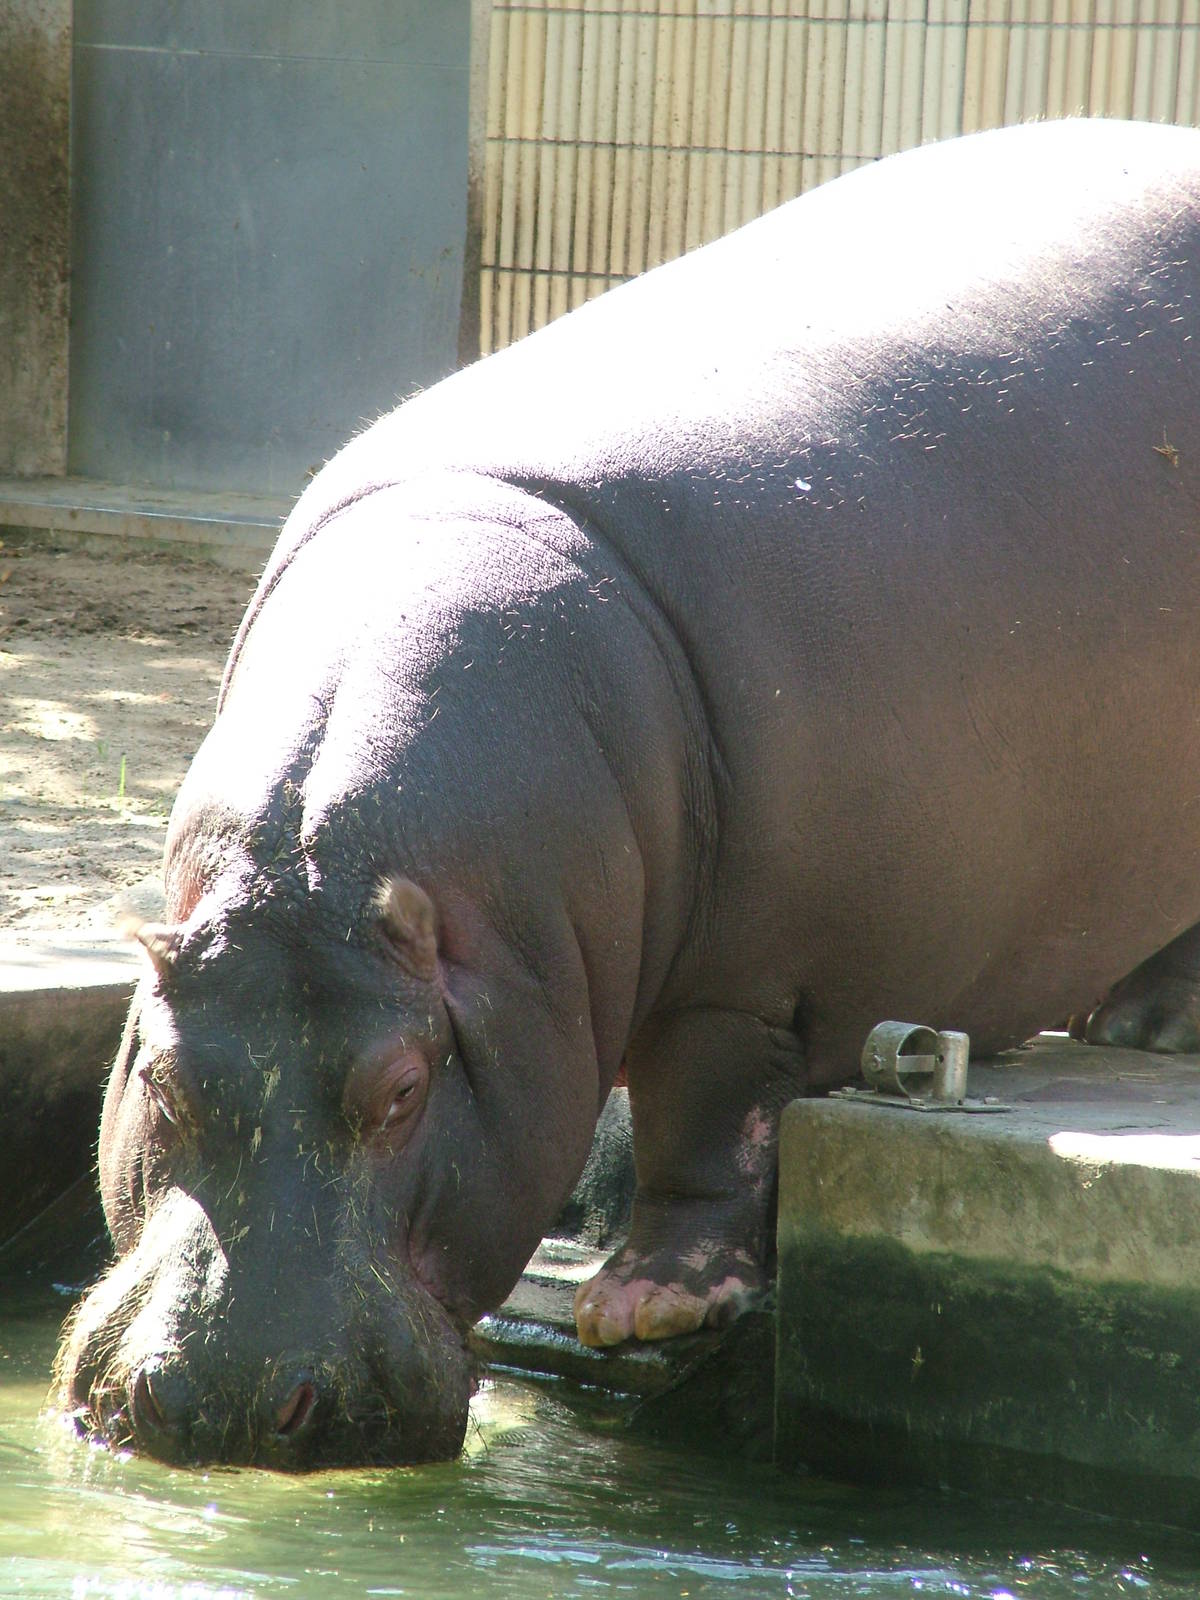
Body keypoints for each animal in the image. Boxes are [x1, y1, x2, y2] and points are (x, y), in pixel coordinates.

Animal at [56, 116, 1200, 1468]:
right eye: (159, 1078)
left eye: (402, 1090)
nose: (232, 1394)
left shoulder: (753, 974)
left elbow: (707, 1116)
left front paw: (643, 1304)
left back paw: (1151, 1029)